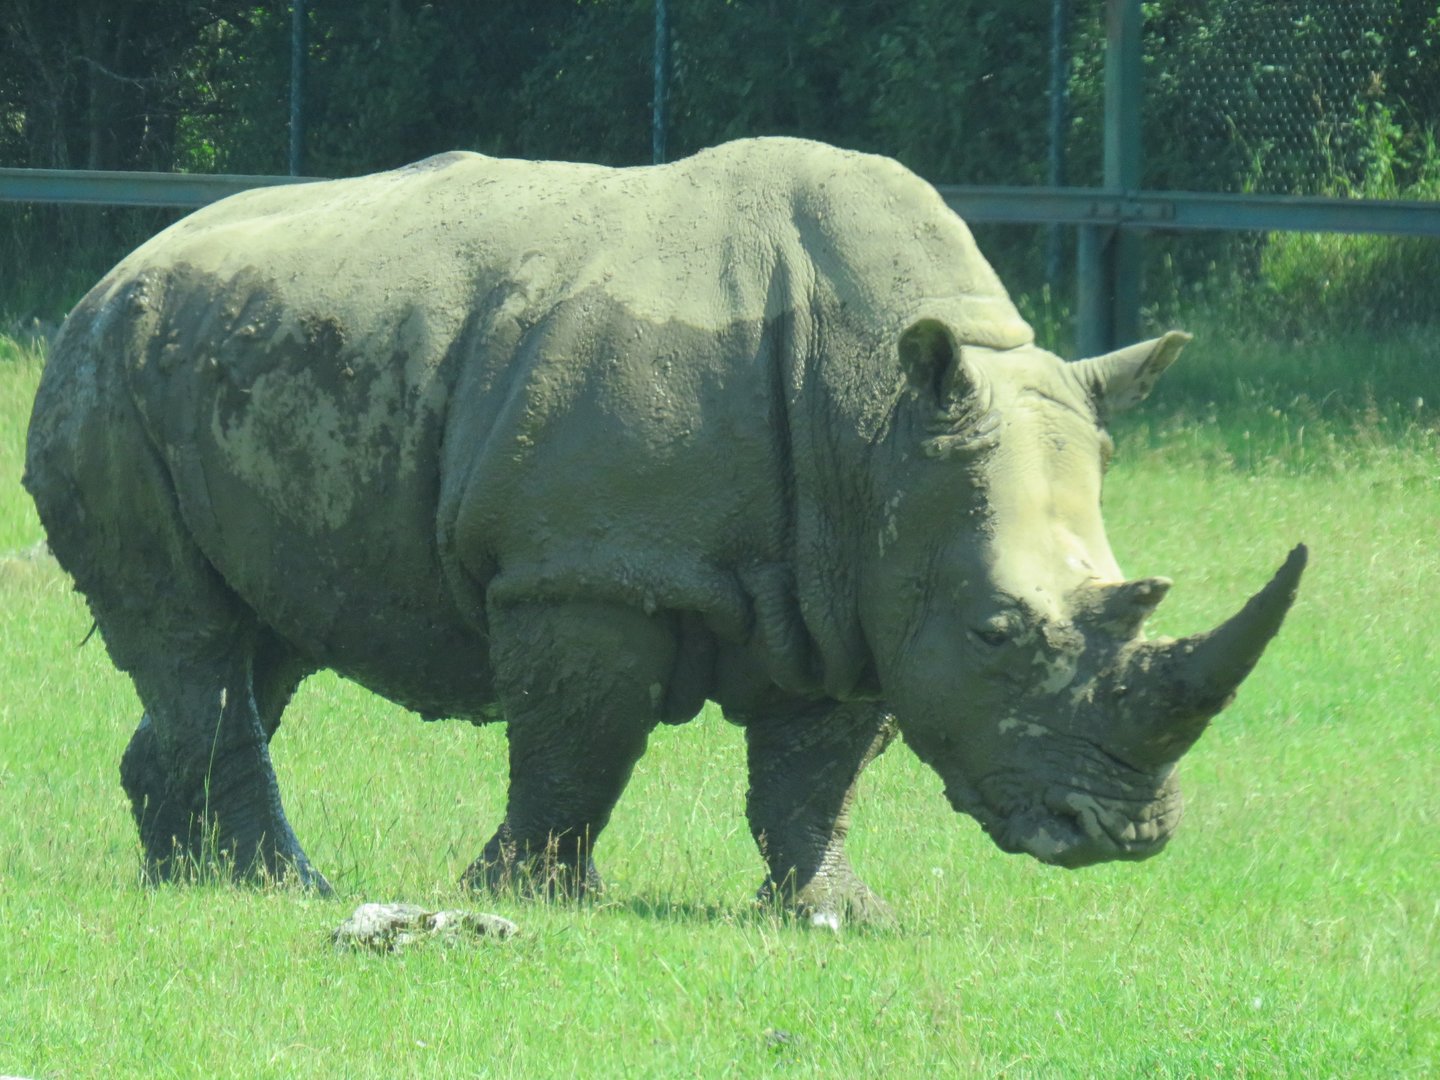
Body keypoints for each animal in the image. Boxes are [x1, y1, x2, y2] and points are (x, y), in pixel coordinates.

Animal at [24, 137, 1304, 923]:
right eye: (998, 632)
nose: (1118, 833)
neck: (875, 416)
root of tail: (112, 270)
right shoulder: (587, 571)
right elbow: (580, 742)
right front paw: (530, 898)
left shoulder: (856, 582)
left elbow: (814, 770)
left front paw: (840, 913)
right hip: (103, 375)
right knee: (194, 638)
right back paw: (285, 890)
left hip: (218, 356)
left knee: (261, 642)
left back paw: (187, 881)